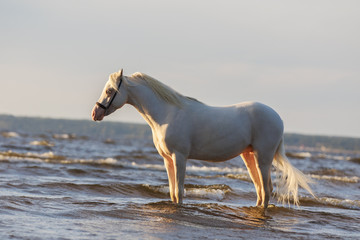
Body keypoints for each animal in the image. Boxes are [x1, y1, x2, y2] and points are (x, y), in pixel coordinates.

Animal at [93, 68, 316, 207]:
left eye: (110, 90)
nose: (96, 113)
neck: (167, 113)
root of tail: (278, 118)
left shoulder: (180, 157)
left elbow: (180, 191)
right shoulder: (167, 159)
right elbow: (172, 191)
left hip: (264, 158)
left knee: (267, 190)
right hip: (249, 156)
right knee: (261, 190)